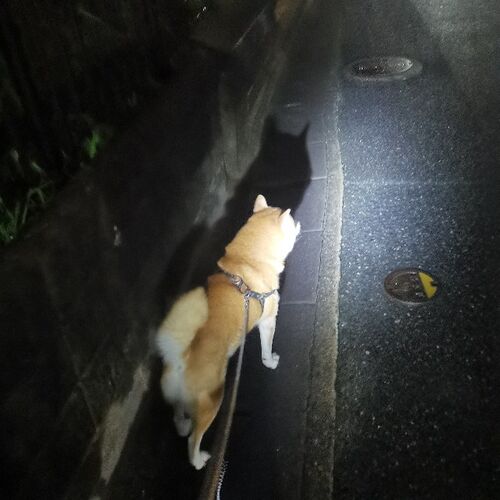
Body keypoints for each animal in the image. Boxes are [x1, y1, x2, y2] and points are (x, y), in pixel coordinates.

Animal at [156, 194, 300, 469]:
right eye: (290, 223)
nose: (299, 222)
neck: (247, 261)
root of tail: (181, 356)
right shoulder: (268, 321)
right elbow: (266, 349)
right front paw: (270, 362)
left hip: (177, 395)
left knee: (178, 417)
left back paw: (182, 424)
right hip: (214, 398)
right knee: (193, 440)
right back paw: (198, 460)